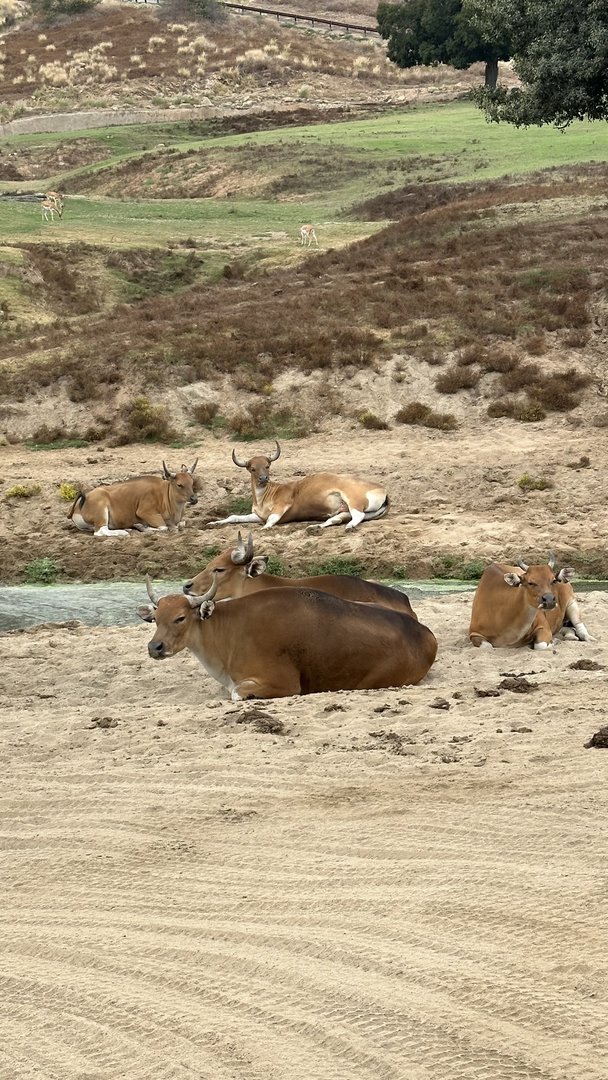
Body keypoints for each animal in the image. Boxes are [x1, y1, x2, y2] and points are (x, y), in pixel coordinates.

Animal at [68, 460, 198, 538]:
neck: (165, 496)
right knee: (100, 531)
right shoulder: (145, 512)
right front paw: (142, 527)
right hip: (102, 511)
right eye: (179, 485)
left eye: (192, 482)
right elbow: (164, 527)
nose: (194, 499)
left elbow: (181, 524)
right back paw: (124, 532)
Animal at [138, 573, 437, 700]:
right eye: (156, 618)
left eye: (180, 617)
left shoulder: (283, 683)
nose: (155, 647)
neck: (229, 629)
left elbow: (236, 693)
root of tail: (425, 634)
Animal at [208, 441, 388, 531]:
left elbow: (272, 519)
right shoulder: (257, 516)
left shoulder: (282, 505)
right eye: (252, 468)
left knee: (358, 515)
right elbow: (234, 517)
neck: (265, 496)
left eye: (267, 465)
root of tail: (383, 491)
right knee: (336, 518)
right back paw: (315, 527)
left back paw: (349, 526)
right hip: (344, 510)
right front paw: (213, 523)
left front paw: (265, 528)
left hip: (352, 499)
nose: (264, 478)